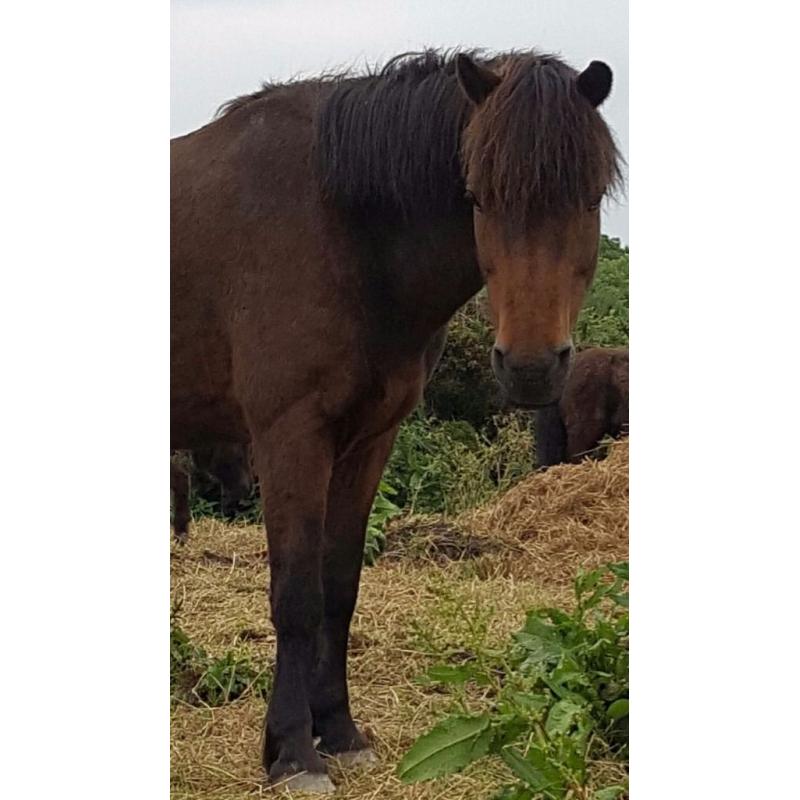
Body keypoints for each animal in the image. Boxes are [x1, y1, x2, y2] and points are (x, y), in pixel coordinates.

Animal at [171, 49, 621, 792]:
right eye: (478, 196)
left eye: (589, 197)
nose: (530, 367)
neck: (340, 228)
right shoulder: (290, 435)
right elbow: (296, 594)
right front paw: (292, 753)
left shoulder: (369, 438)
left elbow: (338, 587)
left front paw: (339, 733)